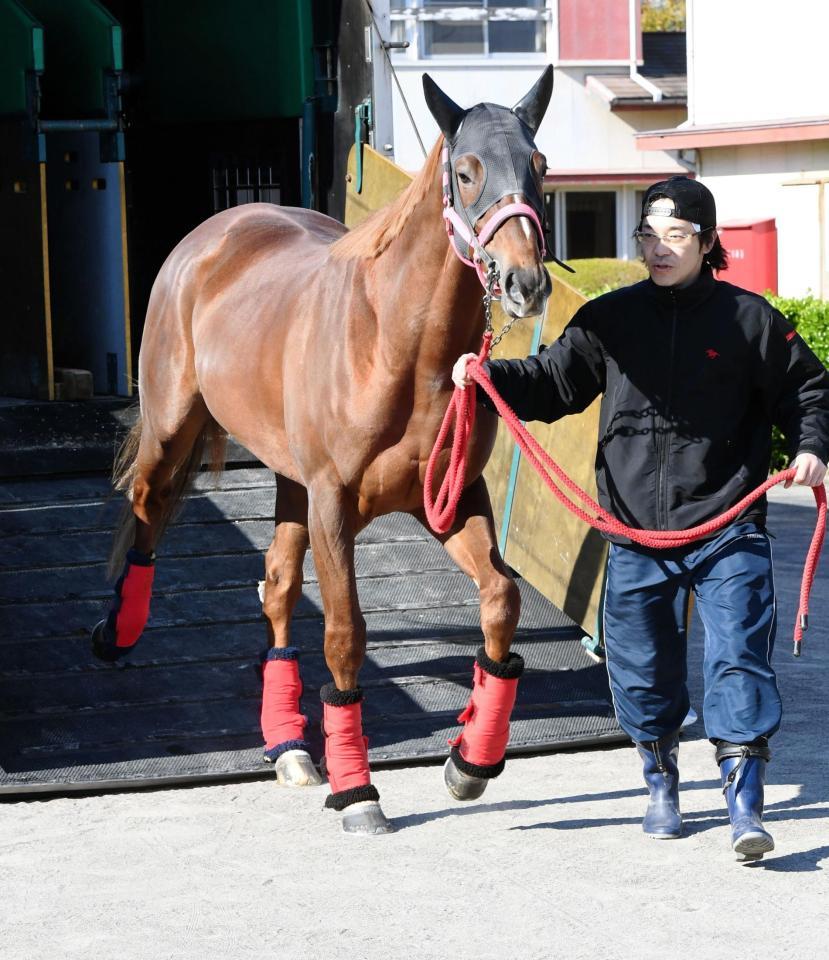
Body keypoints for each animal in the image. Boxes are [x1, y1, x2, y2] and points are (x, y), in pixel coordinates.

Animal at [94, 71, 552, 832]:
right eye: (465, 172)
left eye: (540, 168)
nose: (525, 283)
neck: (396, 347)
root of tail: (218, 230)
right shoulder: (333, 505)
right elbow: (344, 635)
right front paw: (358, 791)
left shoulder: (450, 498)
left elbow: (499, 601)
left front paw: (470, 762)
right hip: (170, 430)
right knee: (148, 510)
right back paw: (116, 634)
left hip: (289, 483)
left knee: (277, 585)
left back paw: (289, 746)